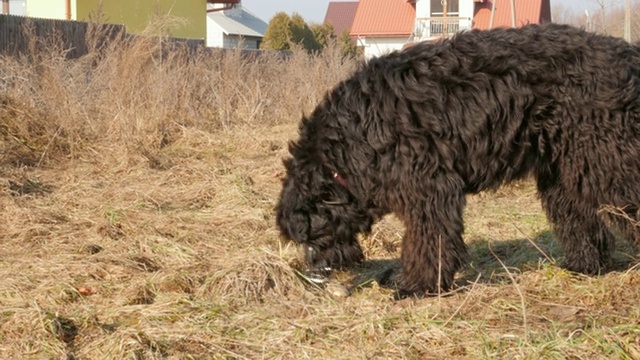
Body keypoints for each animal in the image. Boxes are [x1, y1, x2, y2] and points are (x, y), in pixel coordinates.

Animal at [276, 23, 640, 296]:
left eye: (311, 236)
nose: (315, 273)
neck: (351, 142)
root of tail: (629, 55)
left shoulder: (428, 190)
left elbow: (427, 241)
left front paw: (416, 286)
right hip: (566, 168)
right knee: (578, 216)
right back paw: (584, 264)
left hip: (610, 158)